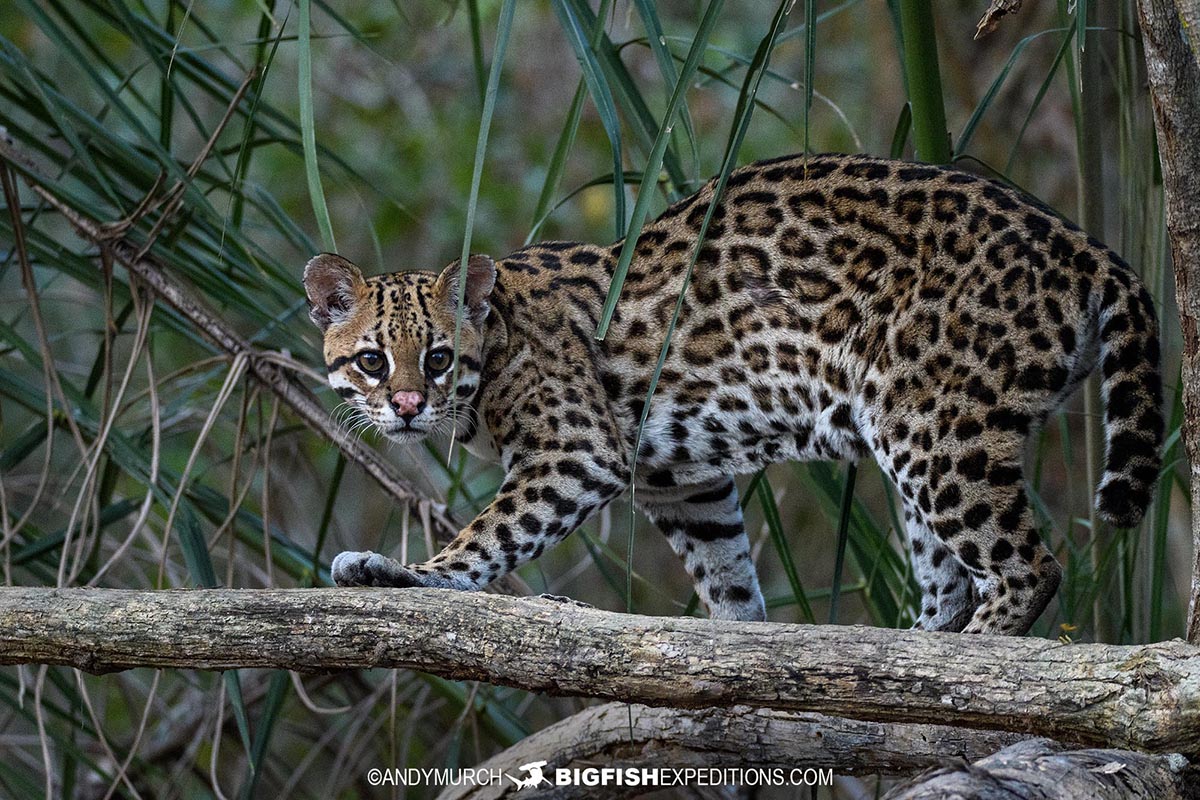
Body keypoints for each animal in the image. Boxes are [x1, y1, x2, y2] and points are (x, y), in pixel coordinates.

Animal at [302, 153, 1161, 633]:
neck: (498, 348)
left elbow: (486, 537)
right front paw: (740, 642)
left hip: (939, 431)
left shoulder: (574, 453)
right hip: (917, 442)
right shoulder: (682, 481)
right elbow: (728, 577)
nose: (407, 407)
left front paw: (411, 574)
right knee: (950, 579)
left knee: (1027, 567)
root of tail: (1083, 246)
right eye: (374, 361)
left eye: (439, 358)